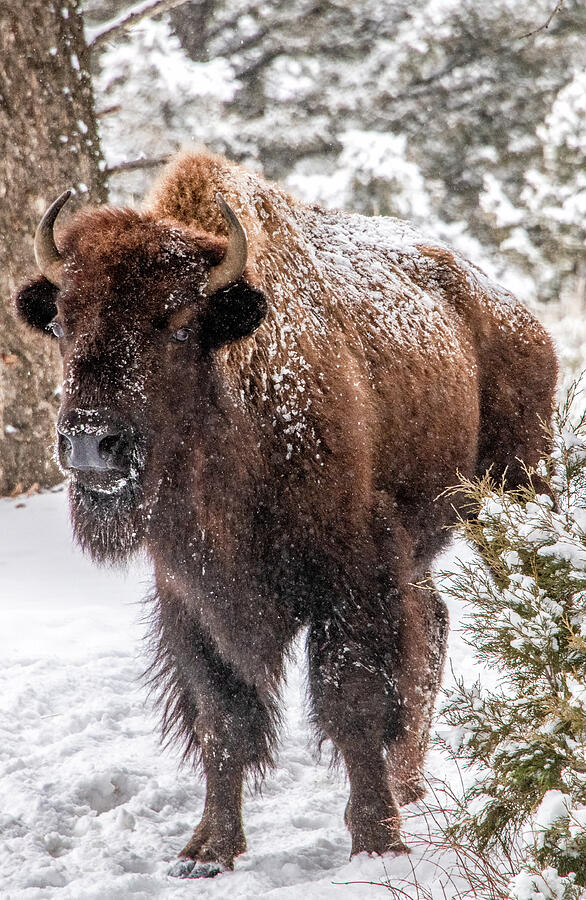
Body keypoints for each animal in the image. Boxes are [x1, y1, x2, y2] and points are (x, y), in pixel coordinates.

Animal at [15, 151, 557, 873]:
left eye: (178, 322)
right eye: (63, 321)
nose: (90, 444)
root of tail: (518, 318)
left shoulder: (352, 573)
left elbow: (354, 702)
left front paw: (376, 840)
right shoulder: (192, 595)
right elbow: (221, 718)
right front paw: (207, 850)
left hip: (515, 492)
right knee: (435, 621)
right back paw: (411, 781)